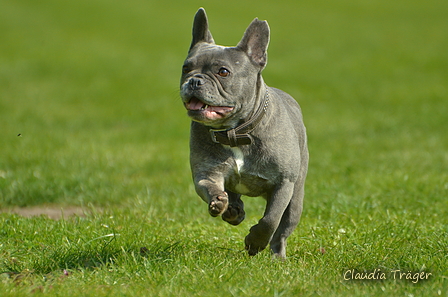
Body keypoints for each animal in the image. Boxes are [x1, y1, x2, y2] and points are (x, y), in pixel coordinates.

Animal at [179, 6, 308, 256]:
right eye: (186, 68)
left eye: (223, 72)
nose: (194, 81)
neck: (235, 132)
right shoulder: (206, 173)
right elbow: (210, 187)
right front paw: (220, 202)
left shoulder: (283, 184)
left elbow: (270, 220)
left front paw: (255, 242)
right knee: (234, 196)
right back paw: (233, 209)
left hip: (296, 196)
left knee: (283, 229)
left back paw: (278, 256)